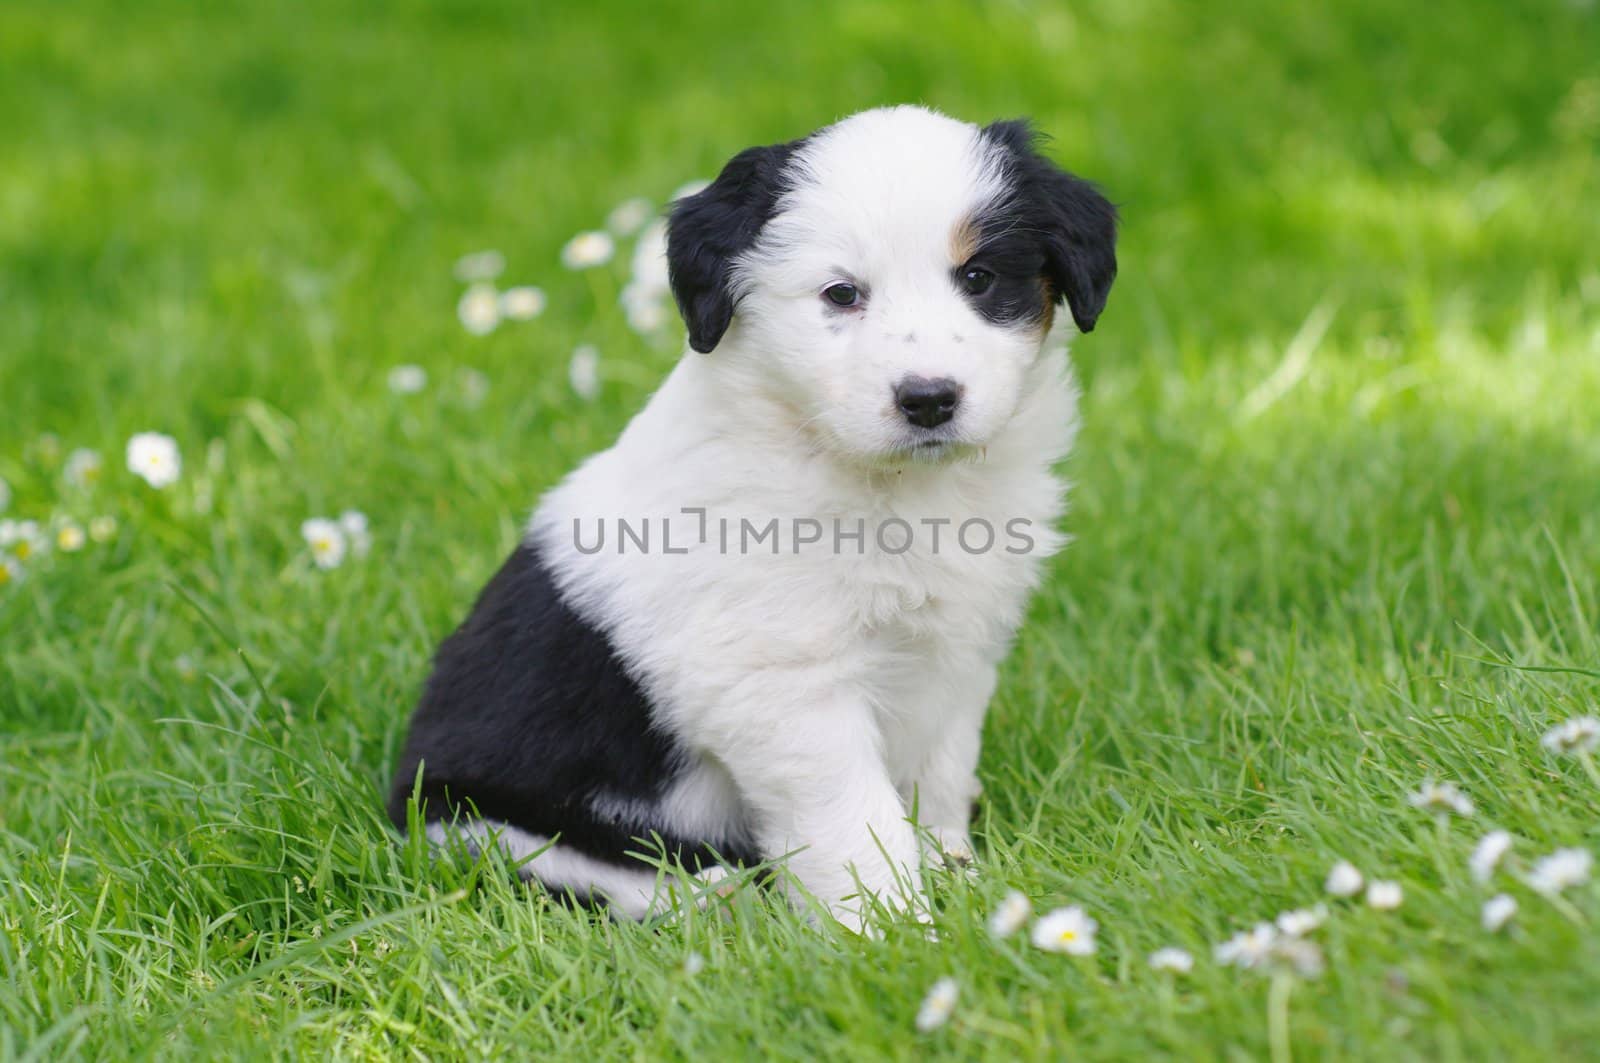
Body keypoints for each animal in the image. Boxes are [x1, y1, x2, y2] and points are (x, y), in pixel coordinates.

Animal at [390, 104, 1113, 928]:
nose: (928, 399)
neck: (894, 489)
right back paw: (715, 895)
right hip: (480, 820)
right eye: (840, 294)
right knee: (587, 874)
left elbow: (937, 775)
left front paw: (952, 872)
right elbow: (854, 821)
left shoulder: (957, 654)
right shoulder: (784, 681)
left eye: (979, 278)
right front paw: (893, 928)